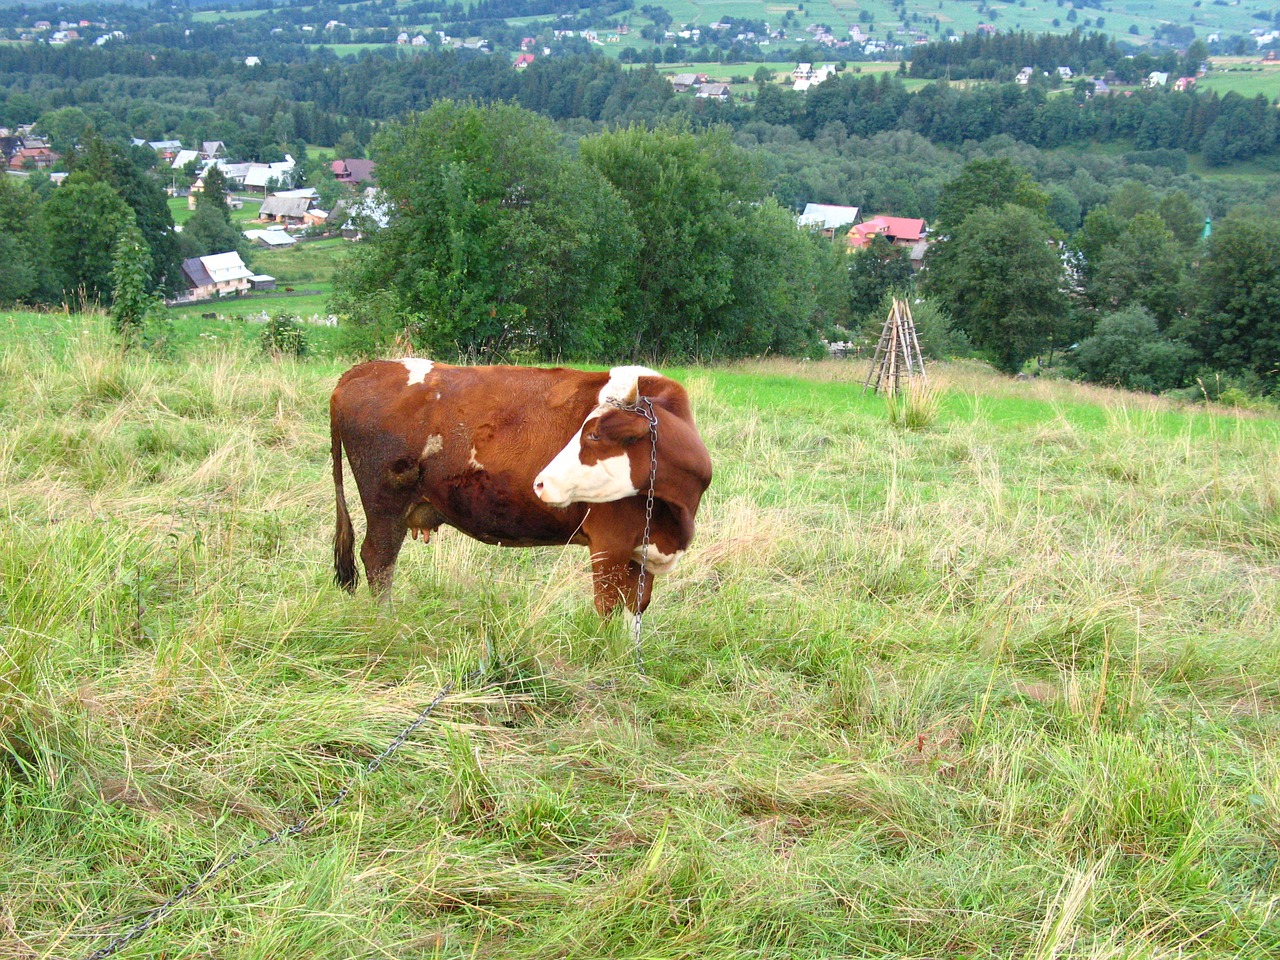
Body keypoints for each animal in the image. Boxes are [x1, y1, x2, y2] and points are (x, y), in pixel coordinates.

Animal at [327, 358, 711, 616]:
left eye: (594, 435)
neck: (675, 515)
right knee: (378, 561)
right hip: (385, 505)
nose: (541, 482)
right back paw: (387, 622)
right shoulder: (610, 545)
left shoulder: (641, 550)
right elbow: (609, 609)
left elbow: (636, 608)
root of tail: (365, 369)